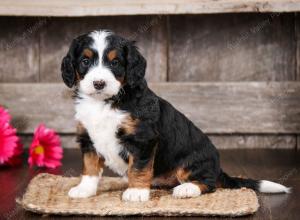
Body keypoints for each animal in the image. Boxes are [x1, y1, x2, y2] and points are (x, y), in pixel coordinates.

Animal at [61, 30, 290, 202]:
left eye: (115, 62)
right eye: (85, 61)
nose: (99, 83)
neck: (106, 102)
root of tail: (217, 168)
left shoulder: (143, 138)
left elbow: (139, 167)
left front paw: (136, 192)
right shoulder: (88, 138)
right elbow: (90, 167)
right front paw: (84, 189)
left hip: (192, 162)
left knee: (208, 184)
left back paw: (187, 189)